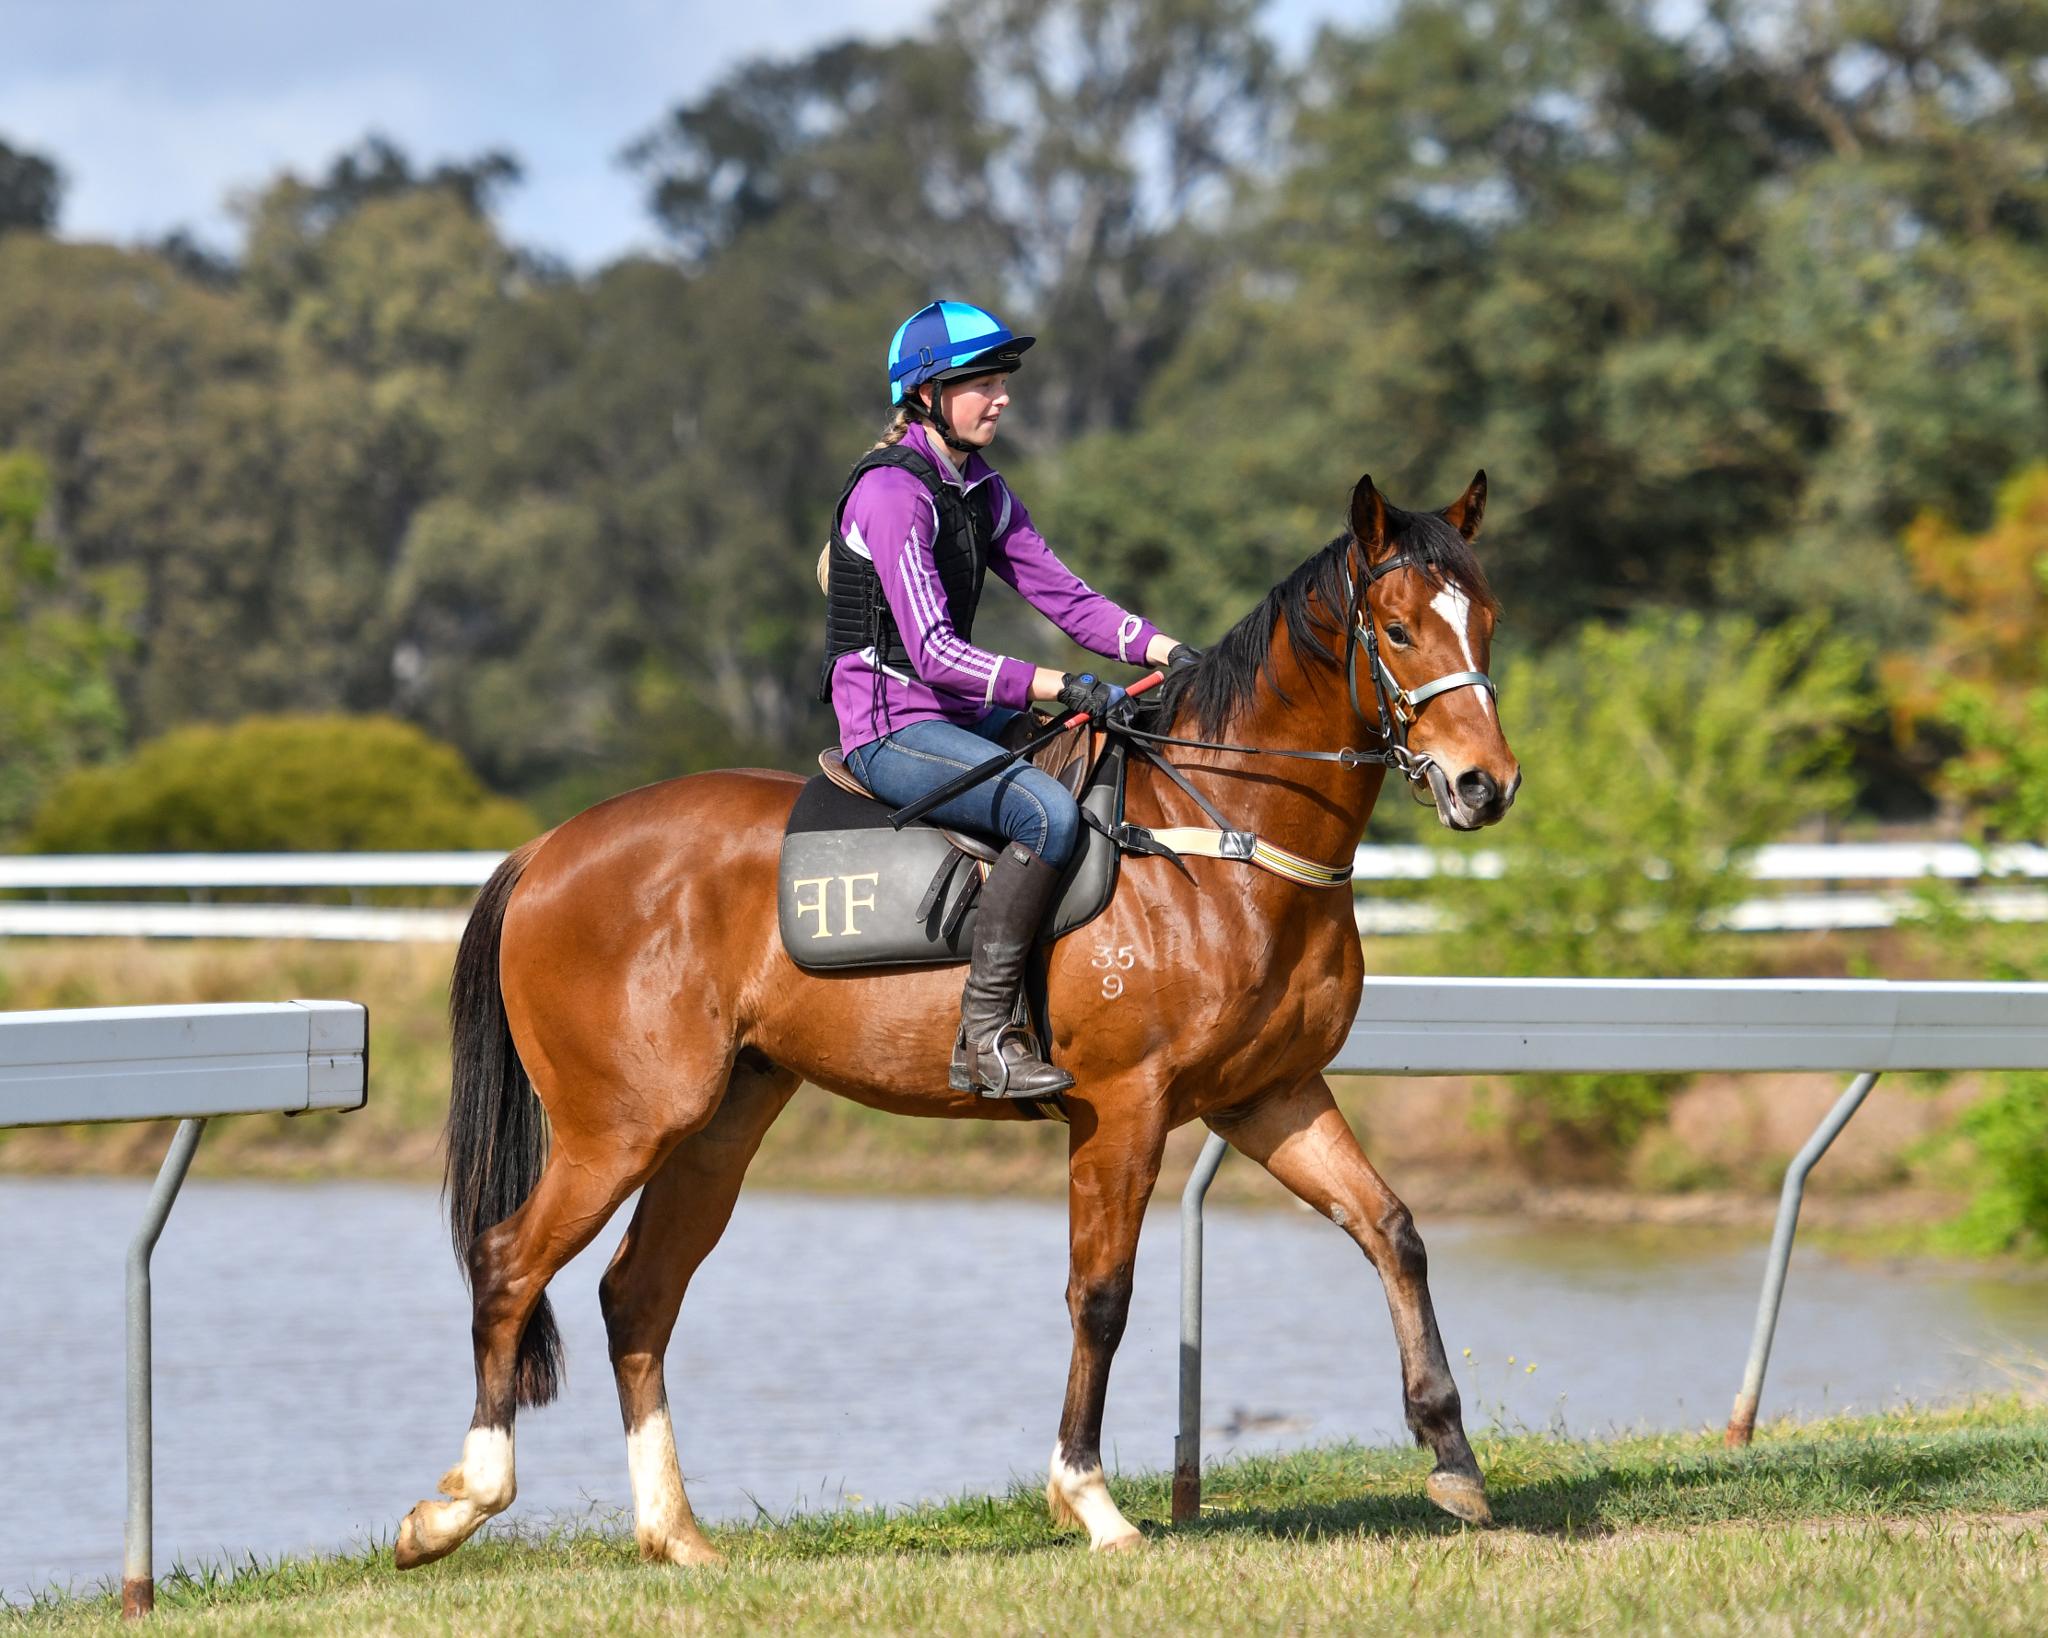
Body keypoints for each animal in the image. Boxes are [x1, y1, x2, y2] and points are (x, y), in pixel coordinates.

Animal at [394, 470, 1521, 1570]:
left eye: (1486, 620)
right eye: (1397, 630)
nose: (1486, 786)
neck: (1218, 844)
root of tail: (545, 851)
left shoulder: (1268, 1097)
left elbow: (1393, 1232)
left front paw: (1453, 1460)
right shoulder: (1125, 1110)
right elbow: (1100, 1296)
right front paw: (1090, 1501)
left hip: (718, 1126)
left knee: (636, 1294)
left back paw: (674, 1534)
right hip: (620, 1126)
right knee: (508, 1264)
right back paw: (455, 1508)